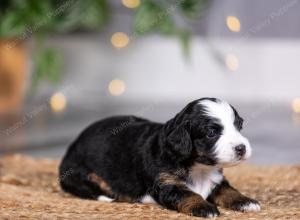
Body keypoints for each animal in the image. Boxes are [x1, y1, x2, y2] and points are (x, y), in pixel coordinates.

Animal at [59, 97, 260, 217]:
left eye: (239, 126)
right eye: (211, 132)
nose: (241, 148)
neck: (199, 167)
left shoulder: (216, 179)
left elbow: (229, 191)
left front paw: (246, 201)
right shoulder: (166, 184)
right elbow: (188, 194)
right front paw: (204, 207)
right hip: (79, 172)